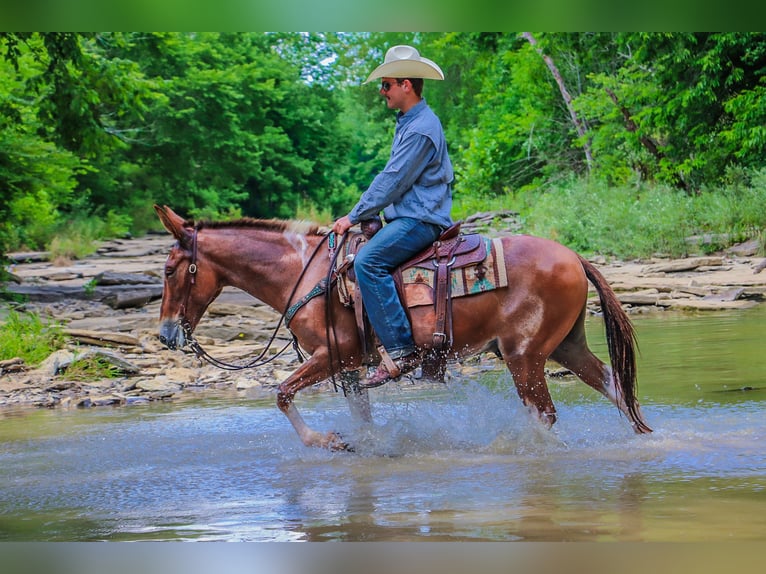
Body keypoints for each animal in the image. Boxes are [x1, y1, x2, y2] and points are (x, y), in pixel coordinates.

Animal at [154, 204, 652, 450]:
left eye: (169, 270)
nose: (166, 334)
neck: (305, 272)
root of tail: (574, 257)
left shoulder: (335, 355)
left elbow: (281, 393)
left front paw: (326, 441)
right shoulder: (349, 368)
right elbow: (361, 416)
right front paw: (361, 445)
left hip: (523, 356)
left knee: (544, 415)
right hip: (566, 346)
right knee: (615, 387)